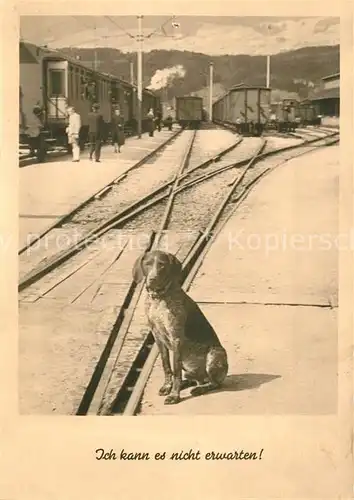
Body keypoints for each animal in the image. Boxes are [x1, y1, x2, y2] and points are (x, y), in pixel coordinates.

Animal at [131, 252, 228, 404]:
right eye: (147, 264)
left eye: (162, 265)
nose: (152, 279)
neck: (158, 299)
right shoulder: (158, 337)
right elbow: (166, 365)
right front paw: (168, 387)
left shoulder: (176, 338)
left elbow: (176, 370)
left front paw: (174, 395)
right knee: (194, 379)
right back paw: (186, 384)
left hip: (216, 354)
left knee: (214, 383)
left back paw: (199, 389)